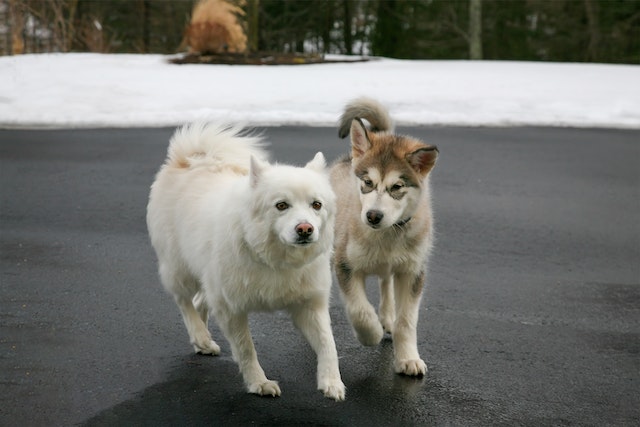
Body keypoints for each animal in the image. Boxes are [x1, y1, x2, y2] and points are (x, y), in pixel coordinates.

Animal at [146, 123, 344, 402]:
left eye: (316, 205)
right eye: (281, 205)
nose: (305, 229)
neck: (275, 259)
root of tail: (188, 160)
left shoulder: (309, 305)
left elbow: (328, 344)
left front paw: (332, 382)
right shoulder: (231, 308)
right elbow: (246, 349)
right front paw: (259, 383)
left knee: (199, 301)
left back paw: (202, 340)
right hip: (179, 268)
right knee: (185, 302)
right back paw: (200, 335)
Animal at [330, 98, 440, 378]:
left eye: (397, 187)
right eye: (368, 182)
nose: (373, 216)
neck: (387, 235)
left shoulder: (413, 272)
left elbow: (407, 321)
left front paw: (408, 358)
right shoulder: (345, 265)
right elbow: (359, 310)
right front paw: (371, 334)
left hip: (394, 267)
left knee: (385, 282)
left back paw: (387, 317)